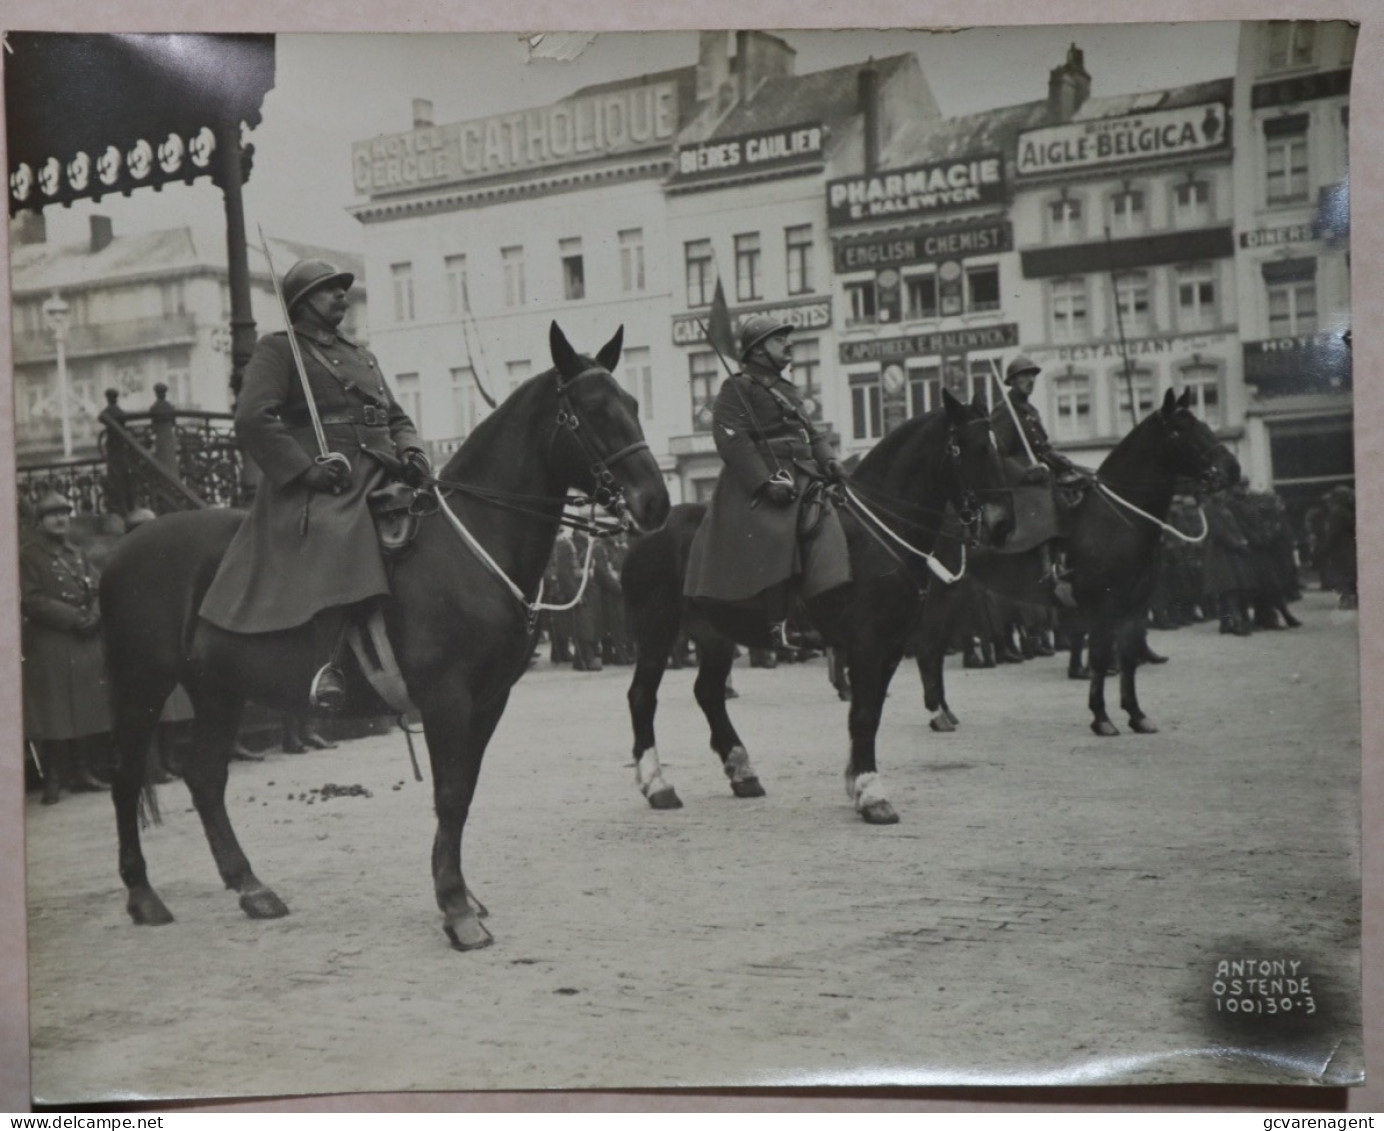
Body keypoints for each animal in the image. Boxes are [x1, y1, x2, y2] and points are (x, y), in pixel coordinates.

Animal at [97, 322, 669, 946]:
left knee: (205, 778)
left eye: (634, 402)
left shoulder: (489, 701)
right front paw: (456, 908)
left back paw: (250, 887)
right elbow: (449, 793)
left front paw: (461, 894)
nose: (656, 504)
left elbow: (463, 791)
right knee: (126, 777)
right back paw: (142, 895)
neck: (469, 544)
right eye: (592, 410)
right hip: (143, 686)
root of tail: (120, 549)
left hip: (218, 690)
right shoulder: (446, 699)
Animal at [622, 393, 1013, 825]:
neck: (878, 533)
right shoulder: (867, 642)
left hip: (716, 635)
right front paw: (872, 793)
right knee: (642, 696)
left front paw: (856, 781)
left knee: (708, 693)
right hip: (656, 629)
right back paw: (658, 785)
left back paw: (742, 772)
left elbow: (871, 709)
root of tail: (641, 534)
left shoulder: (892, 644)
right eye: (968, 448)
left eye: (996, 446)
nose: (1002, 525)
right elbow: (864, 714)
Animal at [913, 387, 1240, 736]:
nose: (1232, 468)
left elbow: (1128, 658)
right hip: (942, 592)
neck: (1116, 517)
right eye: (1179, 431)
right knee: (928, 647)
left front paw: (1136, 714)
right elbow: (1099, 657)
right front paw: (1101, 717)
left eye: (1202, 423)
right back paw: (938, 714)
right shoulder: (1103, 606)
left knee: (936, 648)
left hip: (960, 593)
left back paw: (946, 710)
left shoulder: (1134, 605)